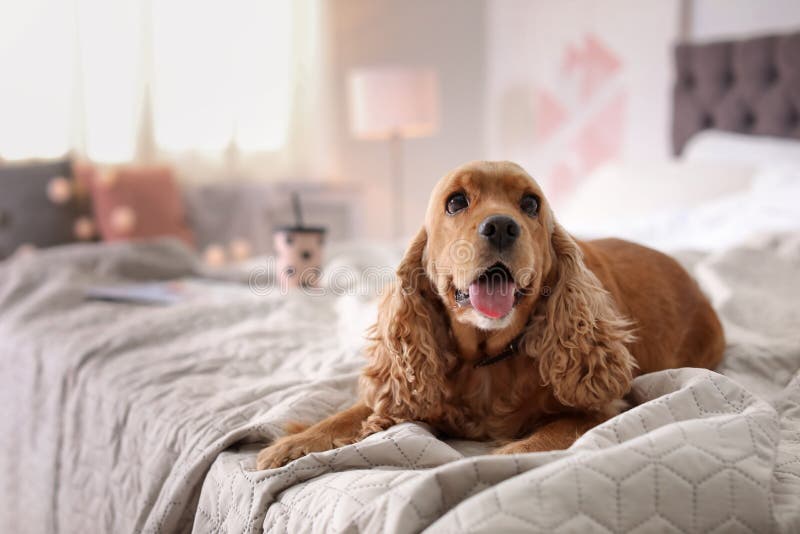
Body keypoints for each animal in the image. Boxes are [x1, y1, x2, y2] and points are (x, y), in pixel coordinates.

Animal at [258, 161, 724, 472]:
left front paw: (503, 460)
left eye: (531, 204)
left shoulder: (606, 407)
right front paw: (295, 444)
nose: (501, 226)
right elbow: (354, 412)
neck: (486, 359)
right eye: (456, 202)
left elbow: (549, 435)